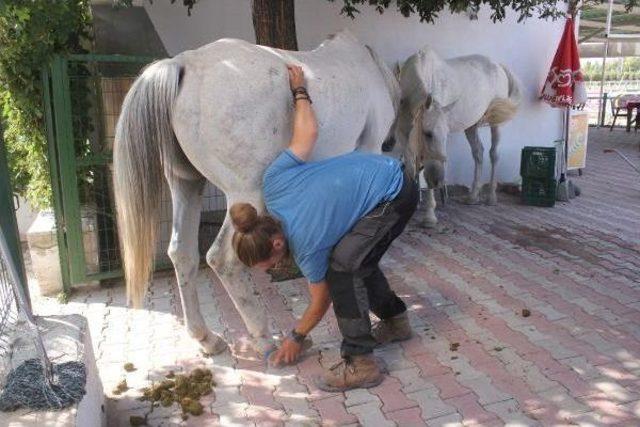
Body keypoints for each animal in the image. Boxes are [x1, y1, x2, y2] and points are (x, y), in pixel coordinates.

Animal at [110, 30, 400, 356]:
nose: (392, 143)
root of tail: (185, 64)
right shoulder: (369, 150)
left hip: (186, 184)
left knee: (181, 253)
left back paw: (207, 338)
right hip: (247, 193)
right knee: (221, 260)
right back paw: (262, 338)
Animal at [390, 46, 520, 226]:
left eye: (445, 136)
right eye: (427, 133)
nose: (438, 180)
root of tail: (498, 66)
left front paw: (429, 216)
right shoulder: (405, 138)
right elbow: (411, 168)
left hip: (496, 123)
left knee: (494, 154)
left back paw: (491, 197)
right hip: (471, 126)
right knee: (478, 153)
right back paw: (473, 196)